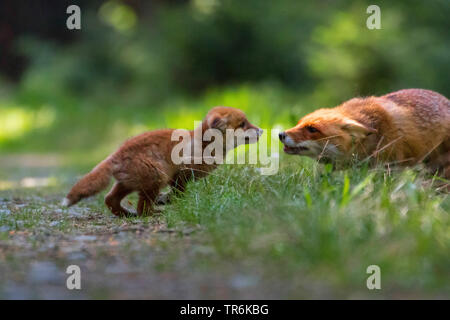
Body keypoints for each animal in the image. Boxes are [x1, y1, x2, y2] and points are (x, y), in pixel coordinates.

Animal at [61, 106, 262, 216]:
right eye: (243, 124)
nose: (262, 130)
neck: (203, 144)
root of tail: (115, 154)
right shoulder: (180, 174)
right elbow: (179, 194)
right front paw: (169, 201)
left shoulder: (178, 177)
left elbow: (176, 194)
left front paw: (167, 200)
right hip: (157, 176)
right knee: (142, 209)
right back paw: (152, 214)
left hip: (129, 183)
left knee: (110, 199)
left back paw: (127, 215)